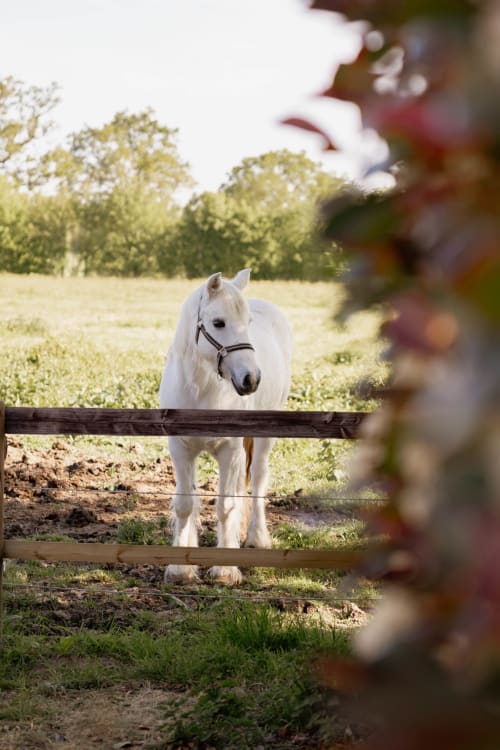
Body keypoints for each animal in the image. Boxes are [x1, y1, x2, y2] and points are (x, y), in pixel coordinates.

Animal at [159, 269, 292, 584]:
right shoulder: (181, 449)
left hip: (264, 436)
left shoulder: (230, 451)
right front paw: (180, 567)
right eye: (218, 323)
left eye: (249, 323)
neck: (201, 389)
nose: (251, 379)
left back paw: (257, 537)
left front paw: (225, 569)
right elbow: (185, 504)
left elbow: (226, 506)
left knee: (258, 478)